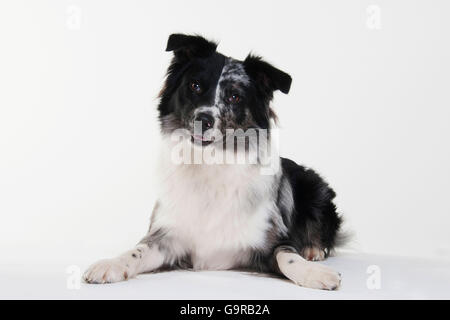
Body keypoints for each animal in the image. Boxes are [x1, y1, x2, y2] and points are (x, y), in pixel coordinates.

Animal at [83, 34, 344, 290]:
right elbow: (137, 250)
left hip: (316, 188)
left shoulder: (272, 238)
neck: (210, 161)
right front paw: (111, 263)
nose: (204, 119)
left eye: (235, 96)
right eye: (195, 85)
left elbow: (288, 256)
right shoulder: (168, 238)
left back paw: (313, 250)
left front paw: (314, 273)